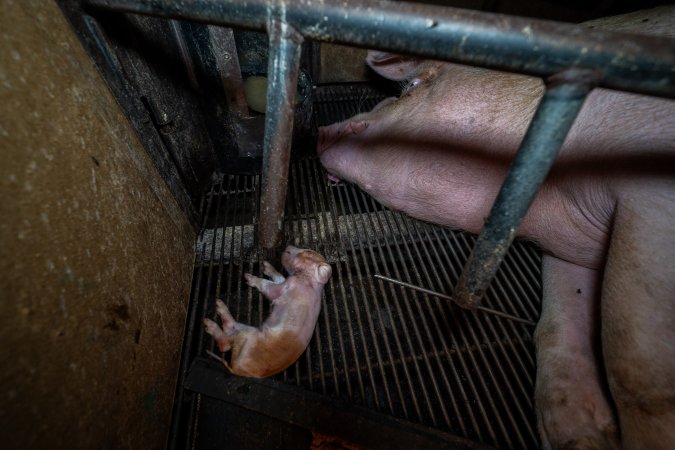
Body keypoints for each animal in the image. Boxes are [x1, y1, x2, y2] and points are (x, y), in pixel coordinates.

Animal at [205, 244, 334, 378]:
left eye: (308, 252)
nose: (288, 246)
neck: (307, 280)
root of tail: (236, 369)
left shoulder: (286, 286)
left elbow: (268, 286)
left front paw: (248, 277)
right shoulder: (285, 282)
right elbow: (279, 277)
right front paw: (266, 265)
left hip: (248, 336)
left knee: (225, 344)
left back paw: (213, 312)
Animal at [318, 6, 675, 450]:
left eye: (411, 87)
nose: (320, 131)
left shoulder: (652, 200)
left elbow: (636, 372)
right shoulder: (572, 247)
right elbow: (555, 322)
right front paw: (574, 438)